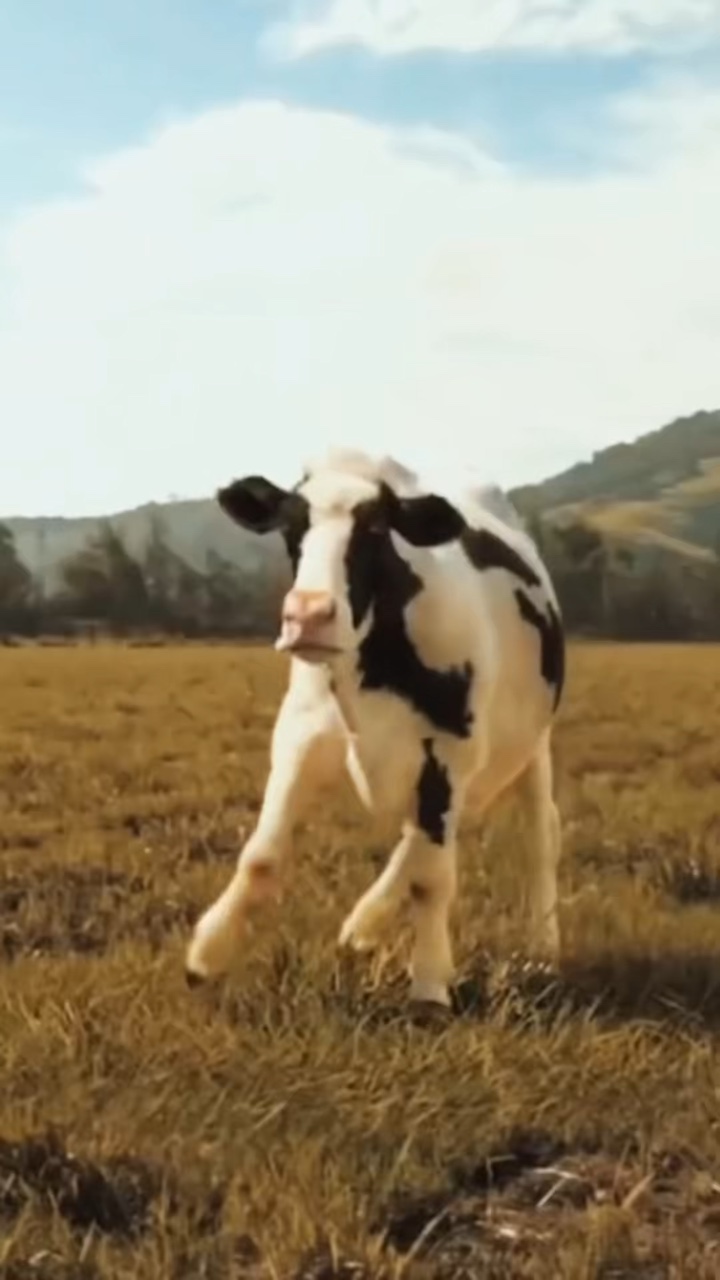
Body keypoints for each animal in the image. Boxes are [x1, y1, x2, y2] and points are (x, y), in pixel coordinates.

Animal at [185, 448, 565, 1009]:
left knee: (538, 835)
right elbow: (261, 856)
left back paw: (542, 946)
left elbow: (432, 877)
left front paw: (429, 984)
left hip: (529, 745)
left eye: (377, 526)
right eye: (291, 525)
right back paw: (362, 925)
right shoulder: (301, 736)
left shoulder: (448, 752)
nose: (308, 615)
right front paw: (207, 953)